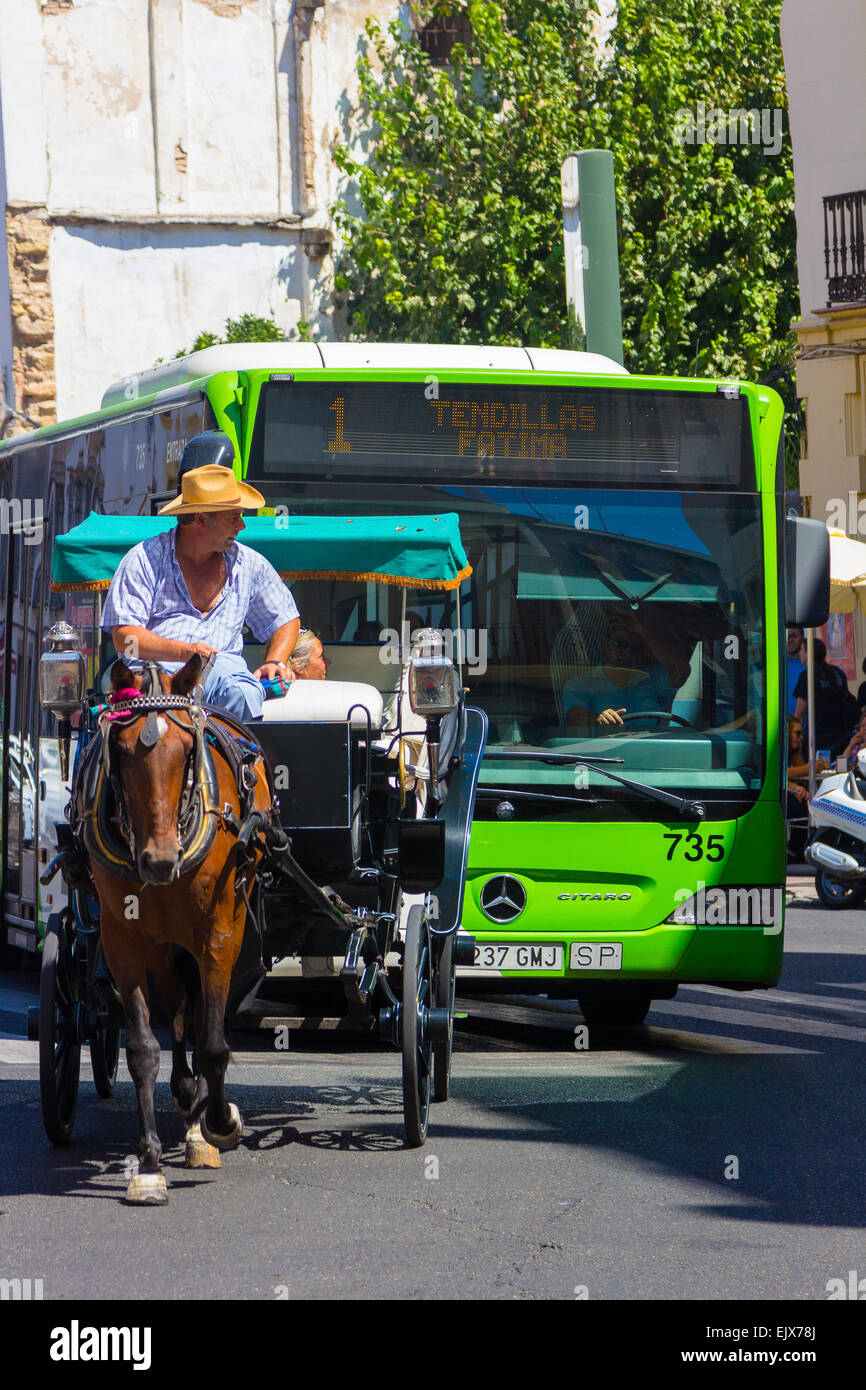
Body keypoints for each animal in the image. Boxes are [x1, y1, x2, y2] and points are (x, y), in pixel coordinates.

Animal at [80, 653, 272, 1206]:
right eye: (121, 751)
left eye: (187, 750)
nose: (159, 861)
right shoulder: (123, 940)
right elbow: (145, 1048)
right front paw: (147, 1166)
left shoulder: (219, 932)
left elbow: (214, 1044)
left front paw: (220, 1123)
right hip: (164, 947)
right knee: (181, 1011)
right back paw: (187, 1105)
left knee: (201, 1018)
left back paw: (199, 1126)